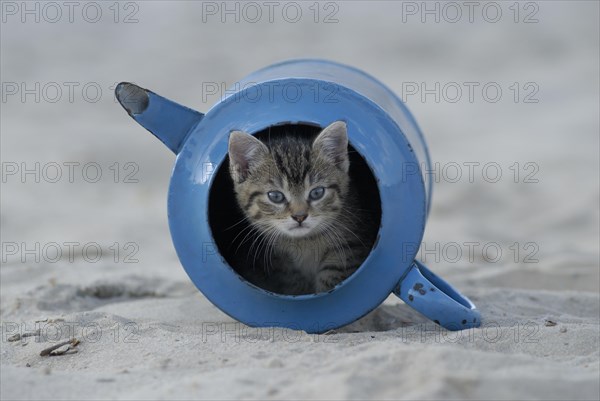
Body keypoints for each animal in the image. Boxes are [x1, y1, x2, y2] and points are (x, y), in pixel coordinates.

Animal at [227, 121, 372, 294]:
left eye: (317, 192)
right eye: (275, 196)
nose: (300, 216)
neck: (305, 241)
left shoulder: (349, 249)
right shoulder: (281, 266)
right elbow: (294, 285)